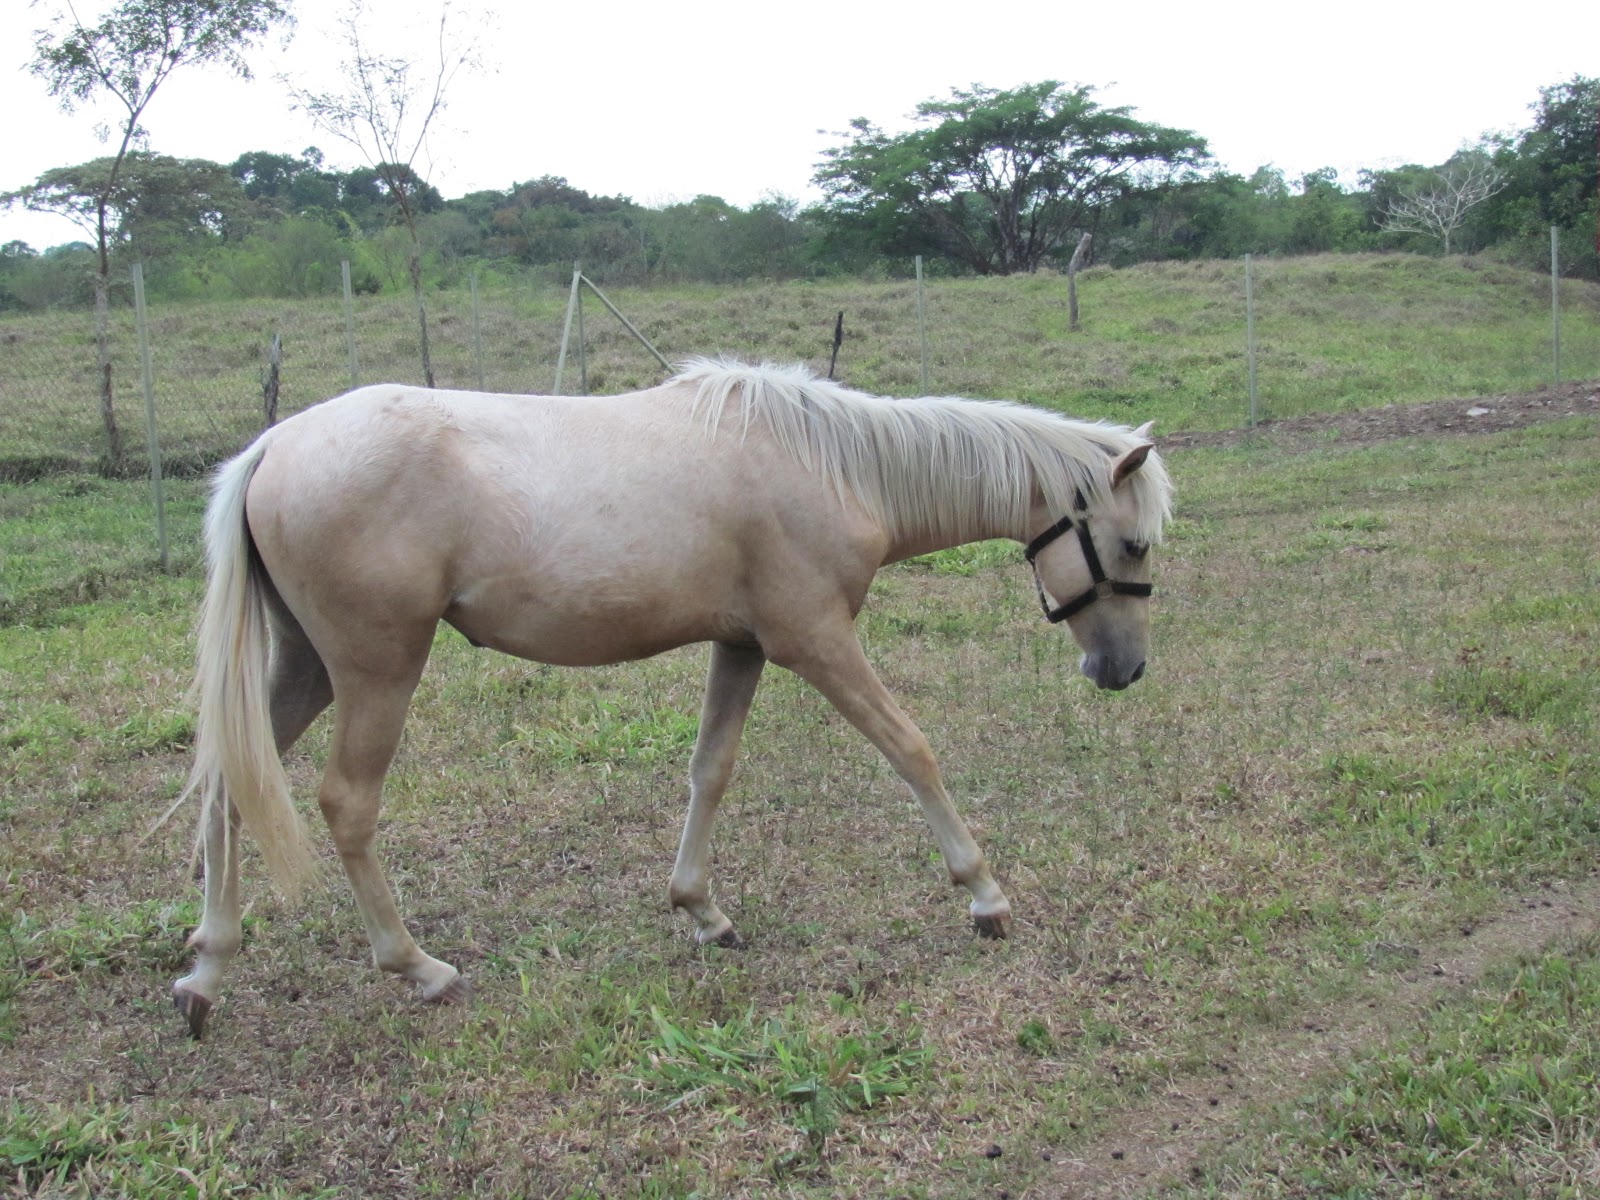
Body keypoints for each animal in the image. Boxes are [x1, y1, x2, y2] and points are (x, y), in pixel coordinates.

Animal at [169, 358, 1172, 1037]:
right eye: (1132, 544)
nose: (1122, 670)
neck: (833, 466)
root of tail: (274, 445)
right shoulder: (815, 641)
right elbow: (910, 748)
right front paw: (984, 896)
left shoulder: (743, 646)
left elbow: (710, 771)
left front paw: (701, 909)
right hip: (376, 671)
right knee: (346, 804)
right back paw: (418, 967)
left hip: (307, 669)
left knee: (227, 787)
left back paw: (207, 972)